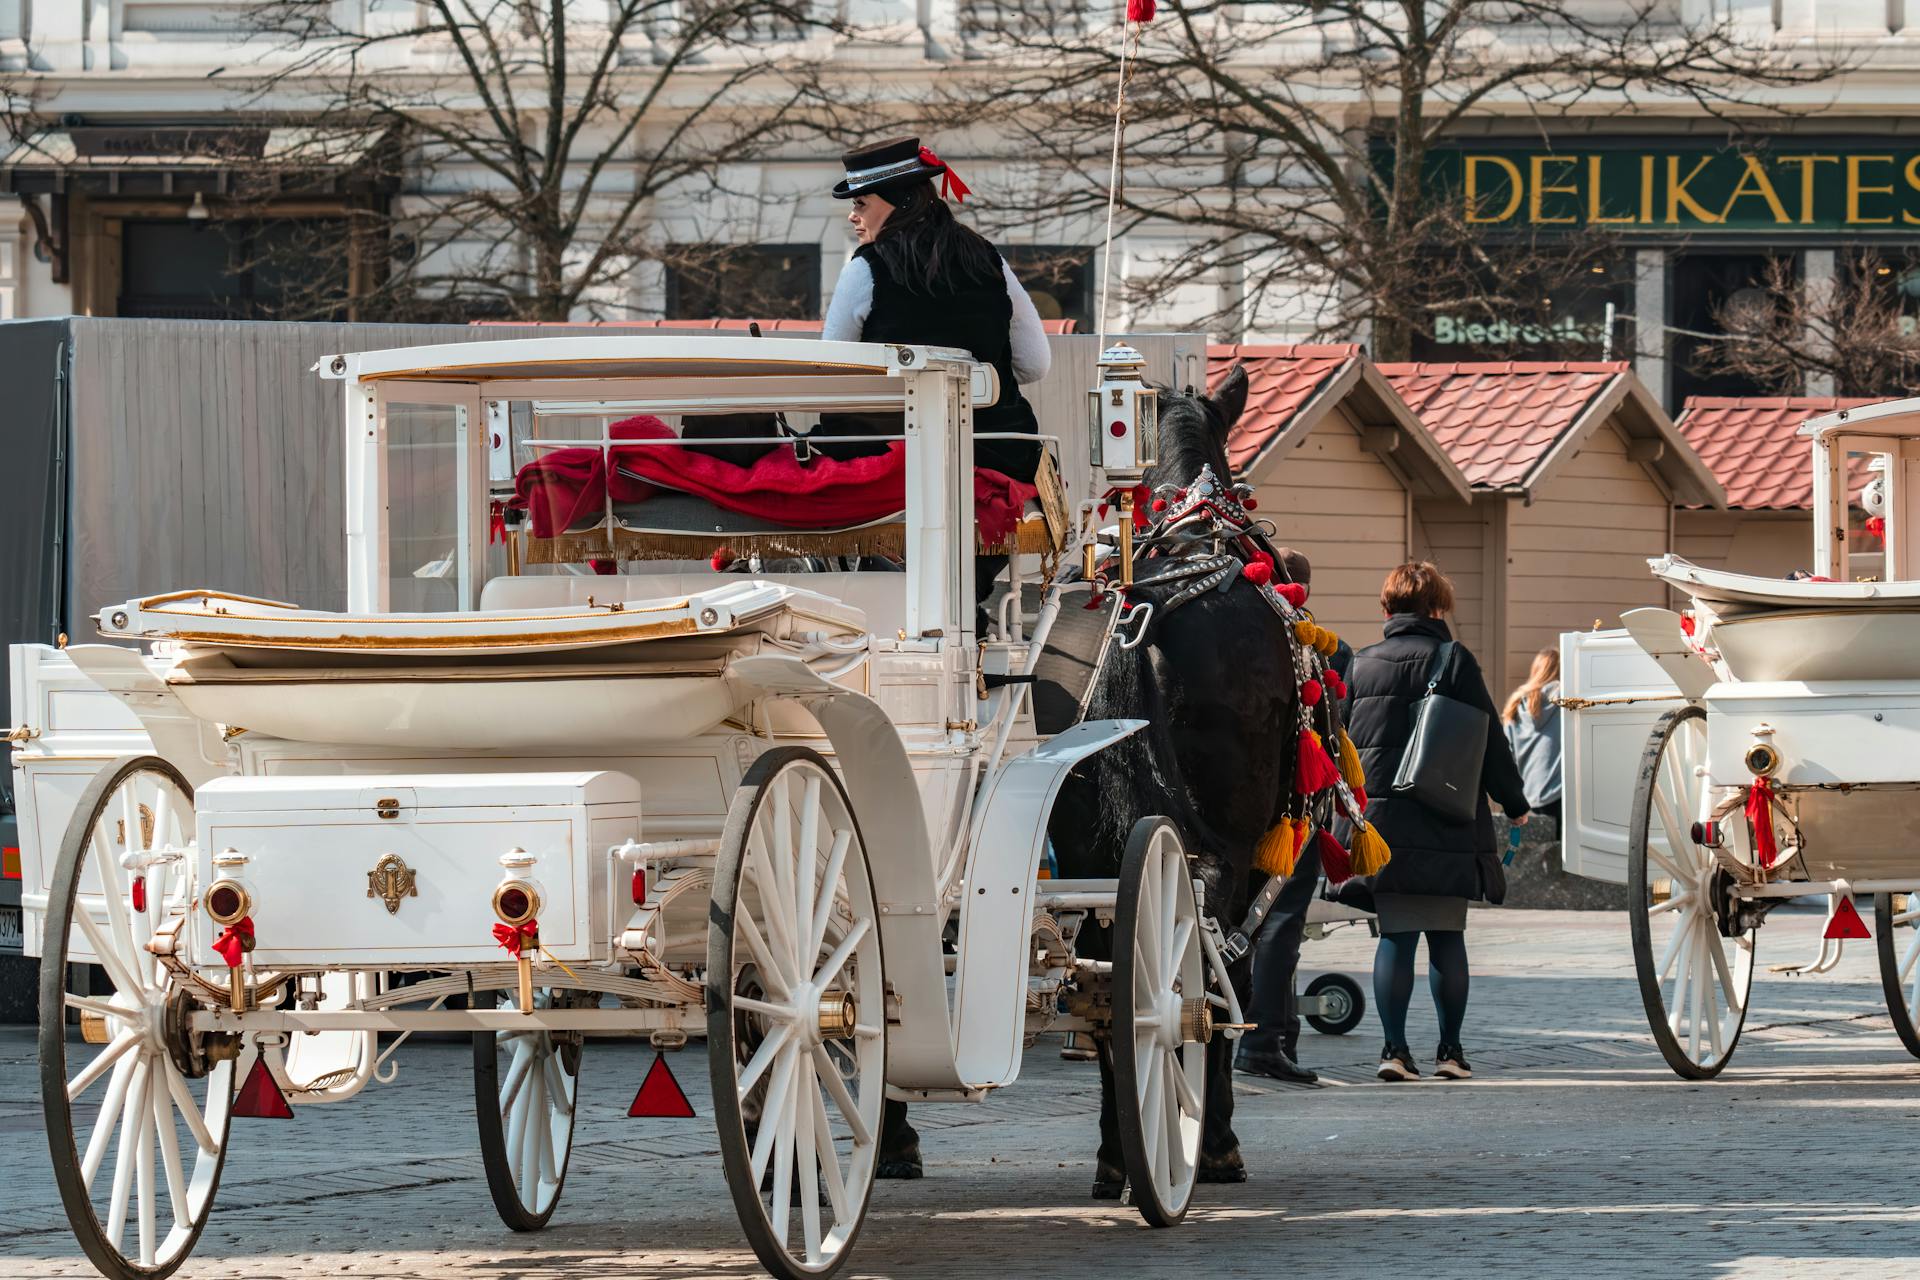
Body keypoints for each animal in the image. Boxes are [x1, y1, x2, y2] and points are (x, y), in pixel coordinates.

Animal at [883, 364, 1305, 1189]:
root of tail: (1147, 610)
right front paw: (1215, 1142)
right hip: (1221, 839)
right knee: (1188, 962)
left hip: (1088, 834)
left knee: (1107, 976)